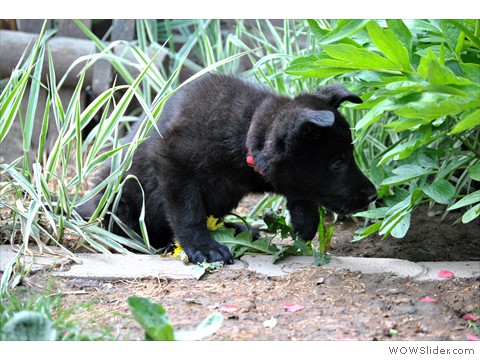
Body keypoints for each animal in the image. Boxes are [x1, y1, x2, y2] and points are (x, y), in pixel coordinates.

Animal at [77, 74, 376, 264]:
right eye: (337, 164)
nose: (373, 195)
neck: (245, 133)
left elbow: (299, 192)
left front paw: (305, 221)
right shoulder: (172, 162)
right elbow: (189, 212)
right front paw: (203, 248)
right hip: (120, 199)